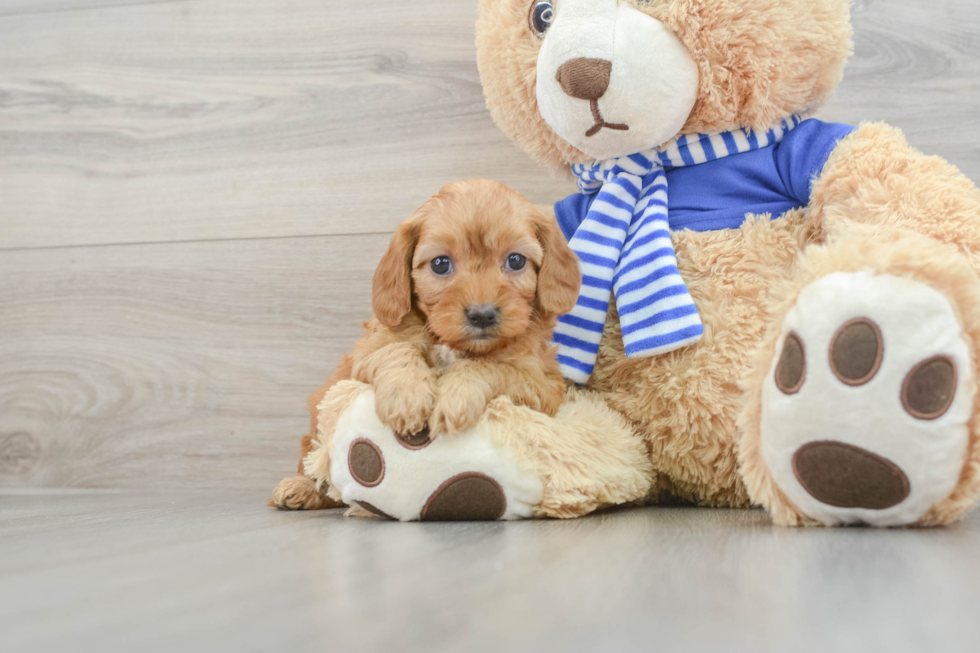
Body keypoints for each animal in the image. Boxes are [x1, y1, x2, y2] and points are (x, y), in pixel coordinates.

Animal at [268, 178, 580, 510]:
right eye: (441, 264)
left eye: (516, 260)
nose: (482, 314)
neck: (451, 343)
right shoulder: (365, 352)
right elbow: (396, 349)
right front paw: (406, 396)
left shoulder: (541, 383)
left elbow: (489, 365)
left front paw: (455, 397)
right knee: (314, 459)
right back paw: (301, 488)